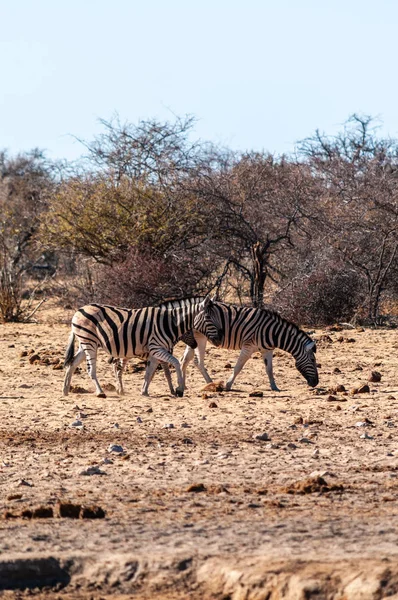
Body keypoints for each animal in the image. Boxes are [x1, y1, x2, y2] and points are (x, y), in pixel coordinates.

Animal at [63, 296, 221, 398]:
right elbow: (174, 364)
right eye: (208, 318)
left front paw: (144, 391)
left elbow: (150, 372)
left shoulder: (155, 351)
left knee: (72, 363)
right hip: (89, 342)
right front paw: (179, 389)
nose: (218, 340)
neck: (169, 323)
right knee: (91, 369)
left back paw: (65, 390)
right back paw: (100, 392)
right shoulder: (157, 348)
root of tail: (79, 309)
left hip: (85, 343)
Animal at [182, 298, 318, 392]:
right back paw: (211, 383)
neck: (273, 332)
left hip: (194, 338)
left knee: (186, 359)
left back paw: (185, 385)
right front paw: (228, 385)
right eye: (312, 360)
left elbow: (269, 369)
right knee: (197, 361)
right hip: (201, 337)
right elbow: (238, 367)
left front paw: (274, 387)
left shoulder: (267, 350)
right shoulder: (248, 346)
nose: (316, 383)